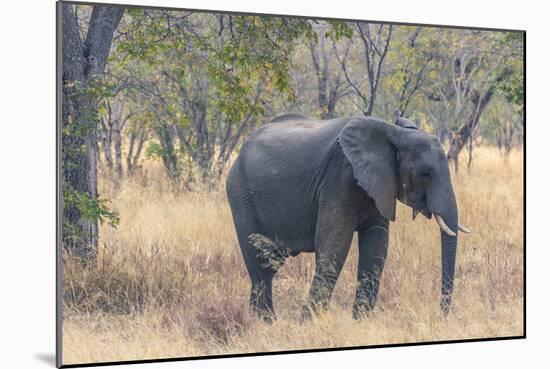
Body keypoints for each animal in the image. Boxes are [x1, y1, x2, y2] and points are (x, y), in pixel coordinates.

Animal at [226, 113, 472, 320]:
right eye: (425, 174)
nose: (442, 315)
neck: (394, 133)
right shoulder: (339, 177)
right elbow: (335, 244)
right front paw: (309, 322)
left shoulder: (379, 184)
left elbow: (376, 247)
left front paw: (360, 320)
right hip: (241, 195)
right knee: (260, 265)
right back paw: (266, 323)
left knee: (269, 264)